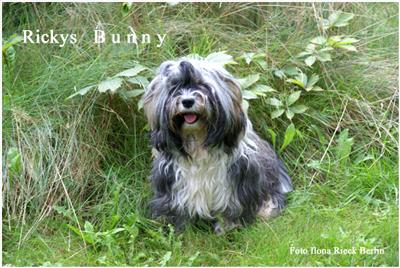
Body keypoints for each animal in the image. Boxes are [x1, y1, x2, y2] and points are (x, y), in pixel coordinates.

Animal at [142, 59, 292, 234]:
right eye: (174, 87)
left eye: (203, 85)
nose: (187, 101)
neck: (198, 142)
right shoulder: (170, 183)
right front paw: (178, 229)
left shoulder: (237, 181)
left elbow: (232, 208)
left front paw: (228, 227)